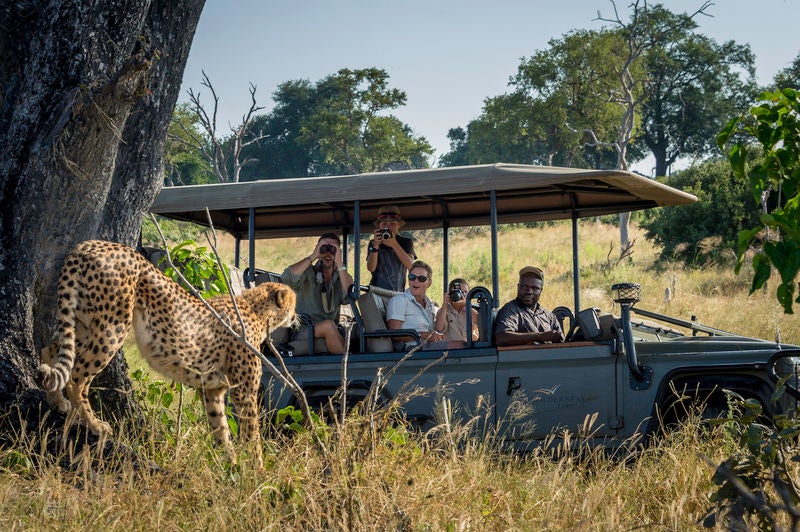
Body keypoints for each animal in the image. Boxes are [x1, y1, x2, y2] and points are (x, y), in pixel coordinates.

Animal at [39, 239, 296, 468]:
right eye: (293, 303)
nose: (296, 317)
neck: (255, 309)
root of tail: (90, 244)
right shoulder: (244, 391)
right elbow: (251, 432)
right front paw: (257, 470)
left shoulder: (211, 390)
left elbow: (220, 427)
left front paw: (230, 463)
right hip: (112, 327)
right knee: (76, 377)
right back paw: (94, 425)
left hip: (83, 323)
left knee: (51, 351)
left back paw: (57, 400)